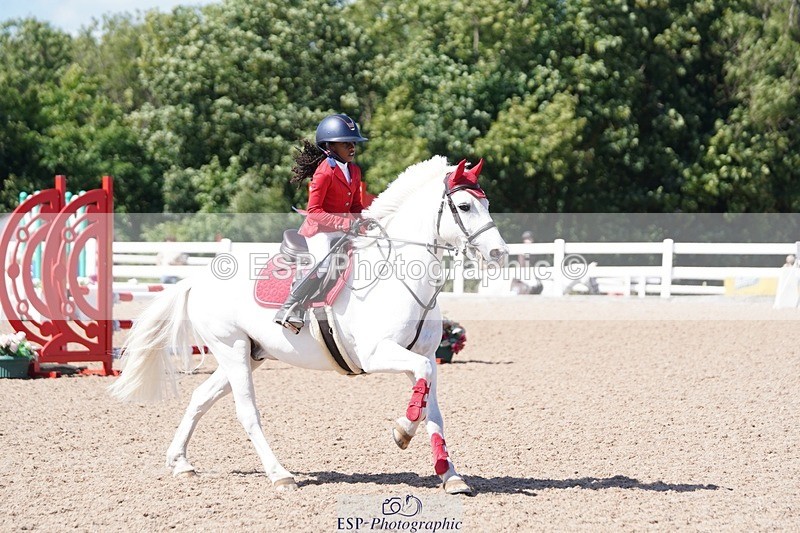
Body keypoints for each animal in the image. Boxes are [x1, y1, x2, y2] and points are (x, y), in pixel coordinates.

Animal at [109, 155, 509, 495]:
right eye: (464, 206)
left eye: (487, 204)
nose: (499, 254)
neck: (398, 276)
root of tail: (198, 278)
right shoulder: (377, 354)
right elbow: (421, 393)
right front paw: (402, 432)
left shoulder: (423, 356)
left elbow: (432, 410)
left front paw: (450, 475)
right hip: (232, 348)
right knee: (247, 412)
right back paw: (280, 475)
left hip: (248, 354)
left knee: (200, 398)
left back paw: (180, 463)